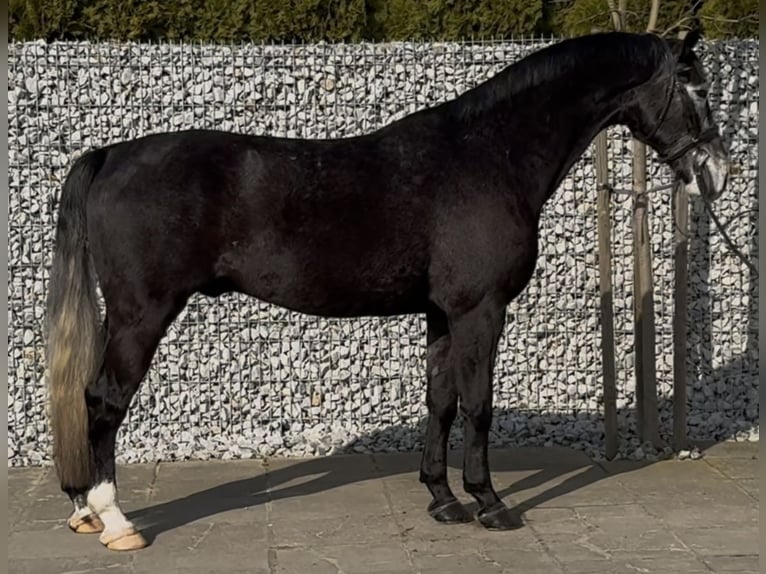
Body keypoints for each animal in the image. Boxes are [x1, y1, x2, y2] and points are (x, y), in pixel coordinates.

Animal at [45, 31, 728, 552]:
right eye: (696, 89)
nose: (715, 174)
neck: (491, 155)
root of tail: (111, 155)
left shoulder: (442, 314)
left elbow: (442, 402)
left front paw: (443, 499)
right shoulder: (480, 311)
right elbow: (479, 405)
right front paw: (489, 501)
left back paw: (84, 511)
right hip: (141, 316)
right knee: (103, 401)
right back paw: (114, 520)